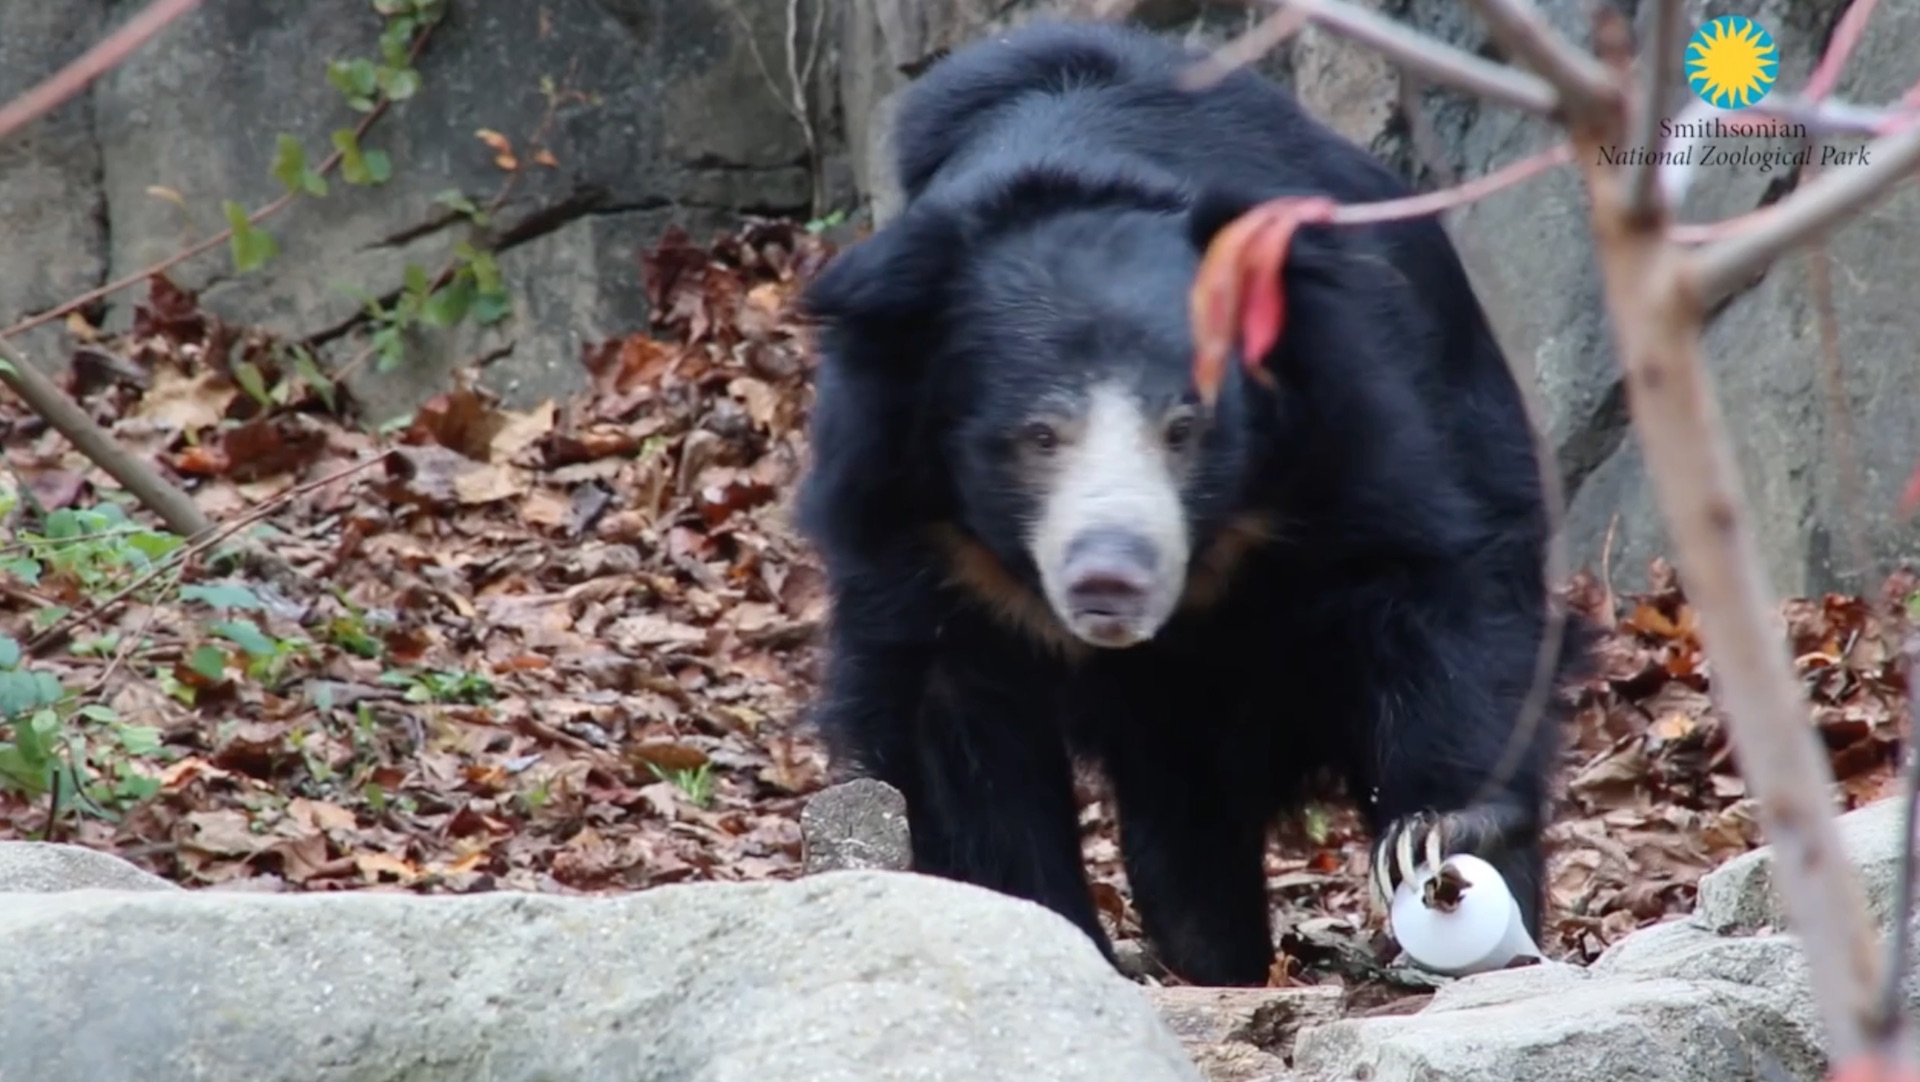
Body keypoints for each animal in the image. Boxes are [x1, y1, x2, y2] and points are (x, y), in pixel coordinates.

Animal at [787, 19, 1597, 989]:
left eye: (1186, 428)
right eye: (1036, 436)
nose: (1111, 579)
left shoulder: (1348, 416)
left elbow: (1426, 581)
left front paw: (1437, 833)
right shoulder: (916, 522)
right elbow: (951, 724)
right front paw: (1041, 926)